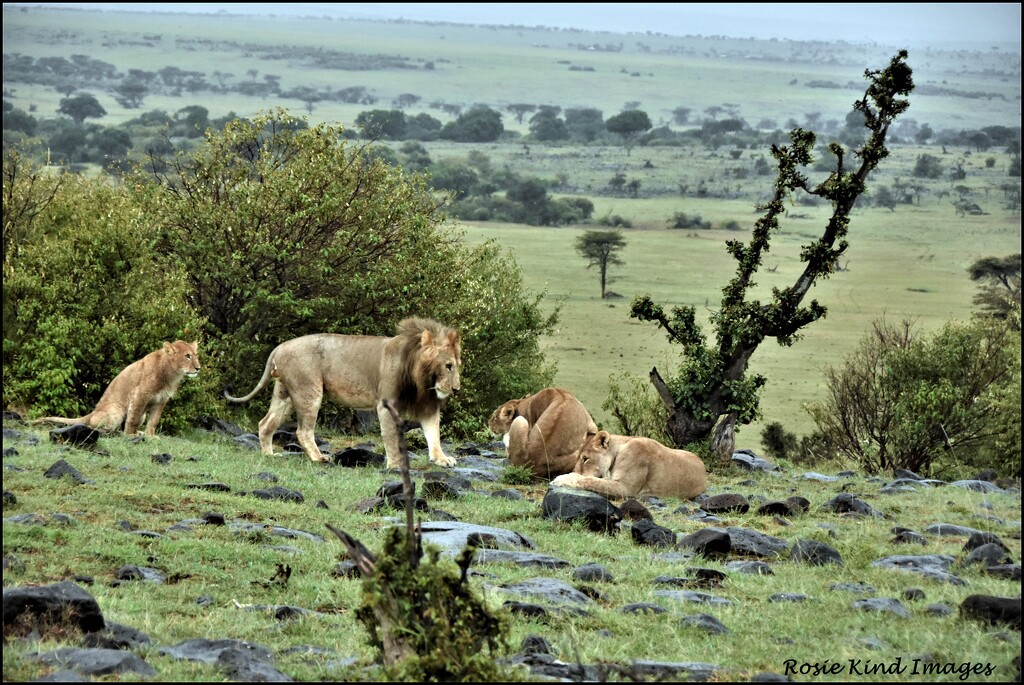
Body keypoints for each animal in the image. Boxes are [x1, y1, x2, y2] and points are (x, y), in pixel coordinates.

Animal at [30, 337, 202, 438]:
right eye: (187, 356)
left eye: (196, 355)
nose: (198, 368)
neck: (172, 374)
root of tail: (91, 413)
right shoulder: (139, 394)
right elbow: (133, 419)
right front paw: (130, 435)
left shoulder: (161, 401)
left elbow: (154, 421)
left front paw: (150, 436)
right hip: (116, 409)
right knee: (98, 426)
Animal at [228, 317, 464, 466]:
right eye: (448, 366)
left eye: (457, 365)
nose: (456, 389)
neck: (421, 378)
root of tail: (279, 347)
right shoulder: (386, 404)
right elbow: (390, 436)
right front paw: (396, 464)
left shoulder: (427, 405)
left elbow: (433, 434)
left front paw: (442, 459)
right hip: (308, 391)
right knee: (303, 431)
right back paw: (319, 458)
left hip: (284, 393)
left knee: (265, 423)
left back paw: (269, 455)